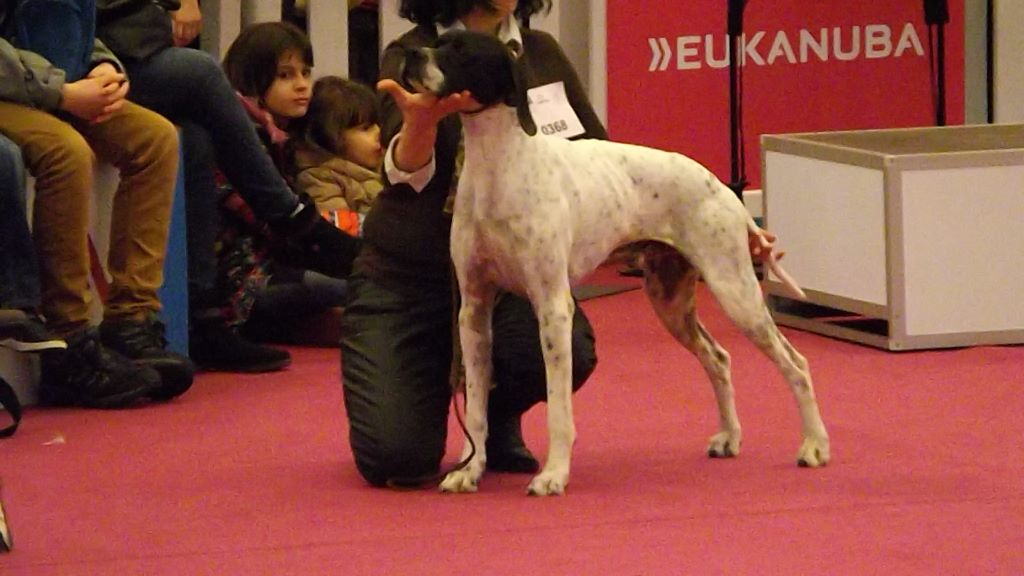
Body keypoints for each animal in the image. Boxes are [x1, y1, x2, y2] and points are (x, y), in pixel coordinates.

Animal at [399, 30, 831, 494]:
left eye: (462, 51)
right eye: (440, 40)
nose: (411, 54)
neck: (497, 167)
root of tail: (724, 188)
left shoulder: (553, 308)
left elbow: (558, 410)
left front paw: (553, 474)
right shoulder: (474, 311)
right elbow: (476, 407)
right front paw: (469, 469)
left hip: (737, 293)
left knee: (796, 364)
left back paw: (814, 446)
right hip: (671, 301)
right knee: (719, 358)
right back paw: (729, 437)